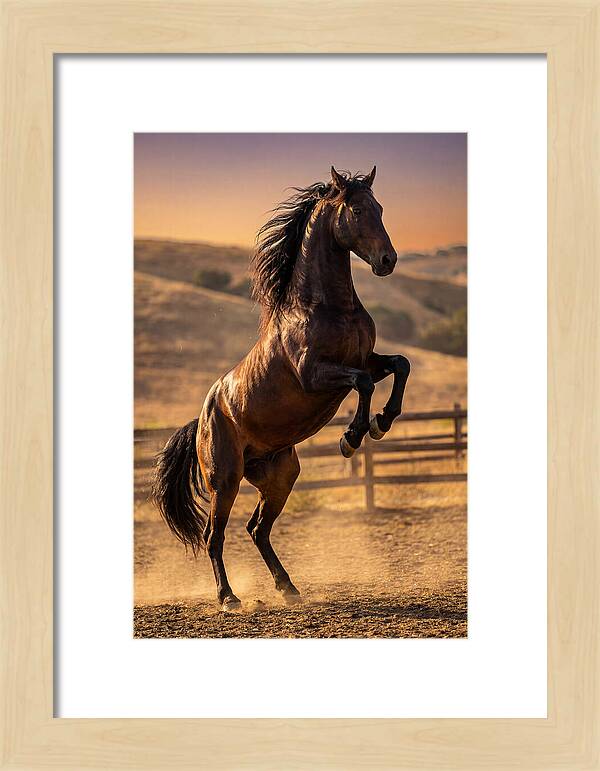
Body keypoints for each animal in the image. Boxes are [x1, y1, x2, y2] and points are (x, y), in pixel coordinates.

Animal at [152, 166, 411, 611]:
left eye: (379, 208)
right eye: (357, 210)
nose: (387, 260)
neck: (326, 306)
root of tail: (202, 417)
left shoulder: (366, 360)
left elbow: (399, 365)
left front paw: (382, 422)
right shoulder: (315, 374)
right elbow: (362, 384)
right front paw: (351, 437)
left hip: (279, 476)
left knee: (257, 529)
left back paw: (288, 588)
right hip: (225, 479)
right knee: (213, 536)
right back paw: (228, 598)